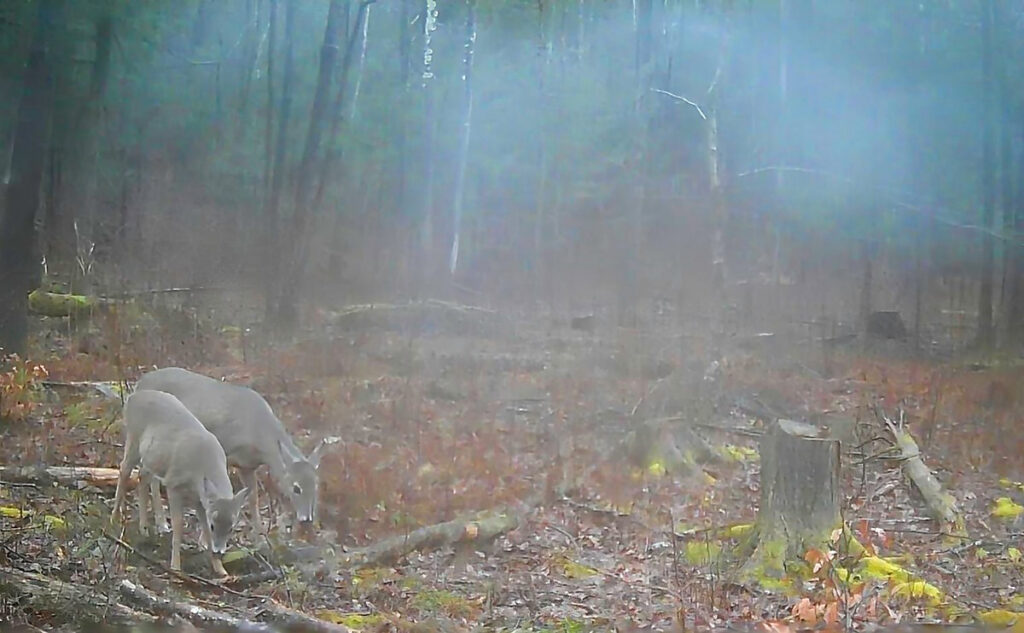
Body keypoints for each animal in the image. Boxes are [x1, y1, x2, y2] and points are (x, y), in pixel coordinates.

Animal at [111, 389, 249, 577]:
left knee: (142, 476)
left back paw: (144, 528)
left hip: (151, 457)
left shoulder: (200, 500)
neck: (201, 465)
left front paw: (220, 570)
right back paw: (114, 519)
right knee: (123, 470)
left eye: (231, 528)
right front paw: (175, 567)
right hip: (133, 438)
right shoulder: (173, 484)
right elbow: (178, 525)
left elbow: (203, 528)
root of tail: (133, 396)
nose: (219, 551)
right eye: (214, 525)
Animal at [136, 367, 327, 540]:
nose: (307, 519)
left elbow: (252, 499)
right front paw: (205, 540)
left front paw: (260, 537)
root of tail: (140, 382)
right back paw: (155, 525)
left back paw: (160, 524)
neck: (259, 435)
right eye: (296, 488)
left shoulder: (247, 465)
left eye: (316, 486)